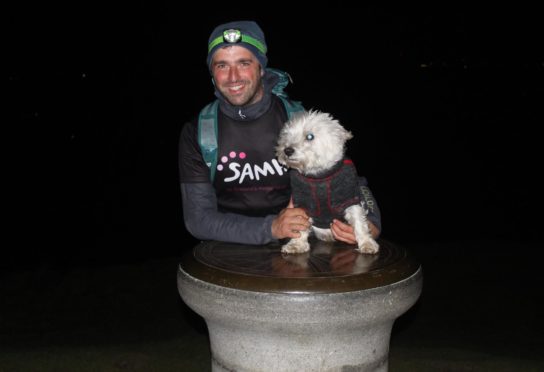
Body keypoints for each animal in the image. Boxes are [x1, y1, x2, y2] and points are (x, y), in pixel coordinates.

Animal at [276, 110, 378, 254]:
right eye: (286, 135)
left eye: (310, 136)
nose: (287, 150)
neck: (320, 176)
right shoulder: (304, 203)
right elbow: (300, 224)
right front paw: (296, 244)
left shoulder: (349, 198)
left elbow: (359, 222)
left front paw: (367, 243)